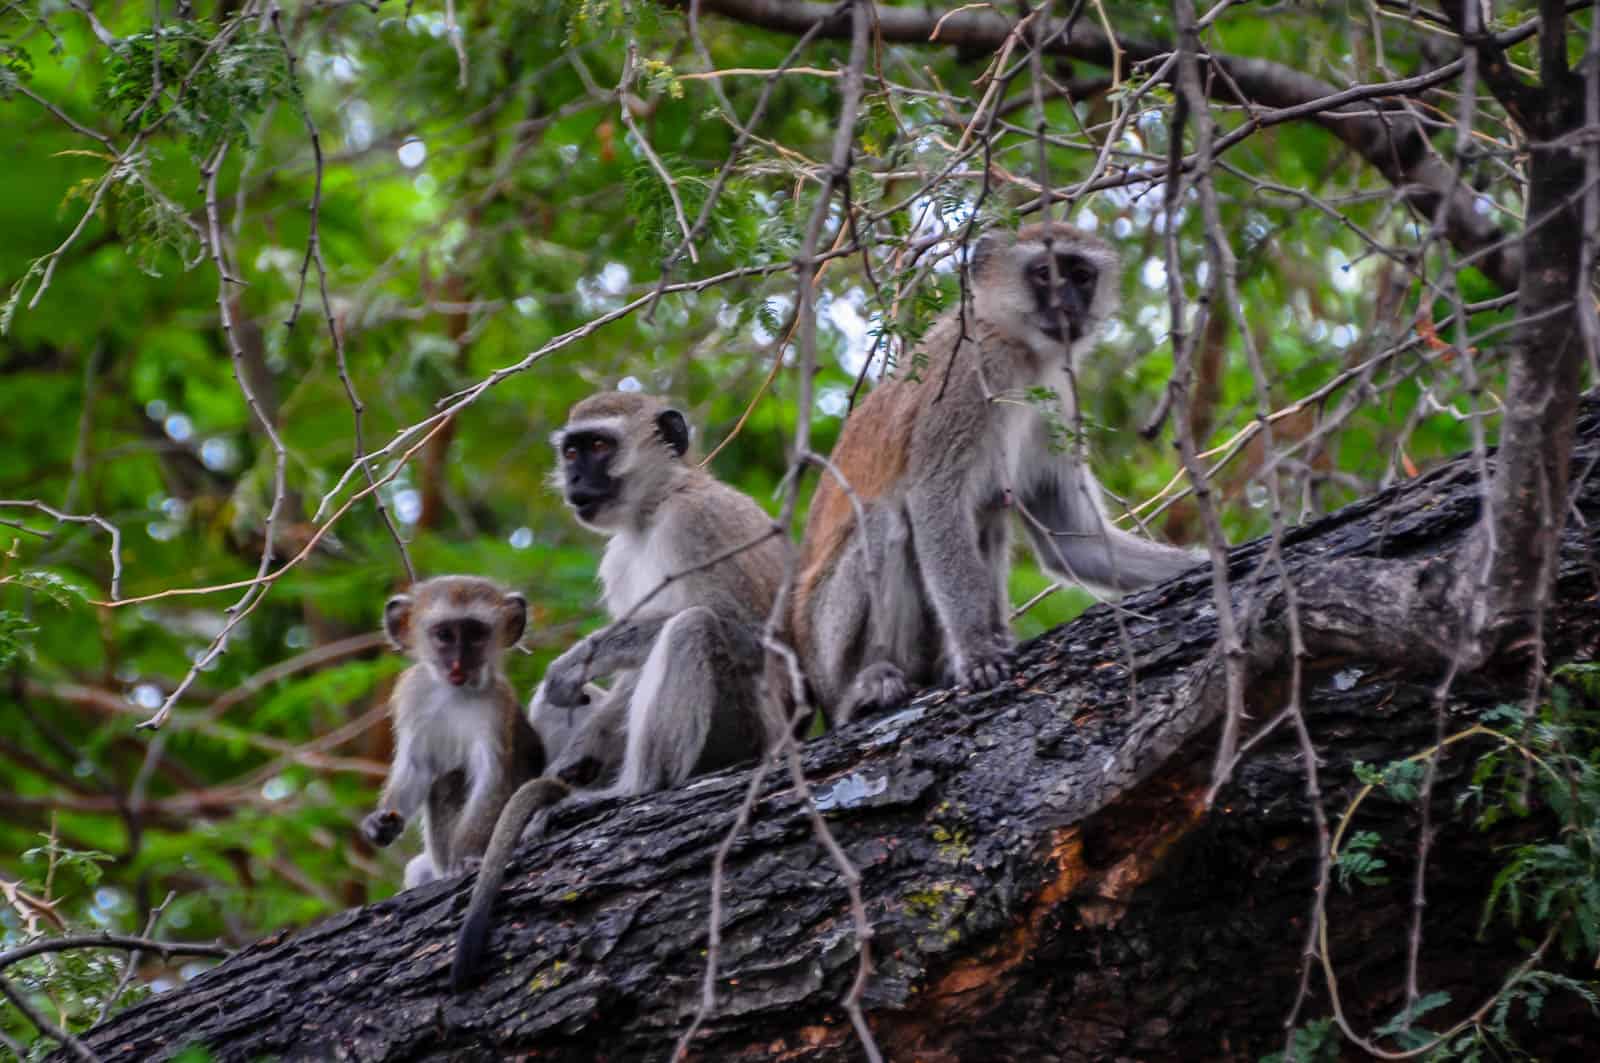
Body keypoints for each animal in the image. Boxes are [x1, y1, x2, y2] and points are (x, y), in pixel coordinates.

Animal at [360, 575, 545, 889]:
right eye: (445, 635)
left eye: (476, 634)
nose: (458, 663)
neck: (453, 693)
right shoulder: (411, 692)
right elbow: (417, 766)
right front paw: (379, 823)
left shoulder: (497, 706)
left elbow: (491, 777)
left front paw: (467, 857)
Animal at [451, 392, 788, 987]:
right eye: (572, 451)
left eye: (599, 445)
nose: (574, 479)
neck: (652, 512)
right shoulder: (620, 557)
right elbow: (625, 681)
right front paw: (577, 753)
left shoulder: (698, 525)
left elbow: (746, 631)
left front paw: (575, 660)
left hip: (743, 733)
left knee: (693, 627)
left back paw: (635, 789)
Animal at [792, 222, 1203, 726]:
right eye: (1044, 273)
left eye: (1080, 275)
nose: (1067, 304)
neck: (1022, 349)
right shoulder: (972, 373)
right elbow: (933, 498)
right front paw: (976, 651)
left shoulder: (1056, 400)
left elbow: (1074, 540)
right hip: (828, 642)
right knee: (884, 520)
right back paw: (867, 685)